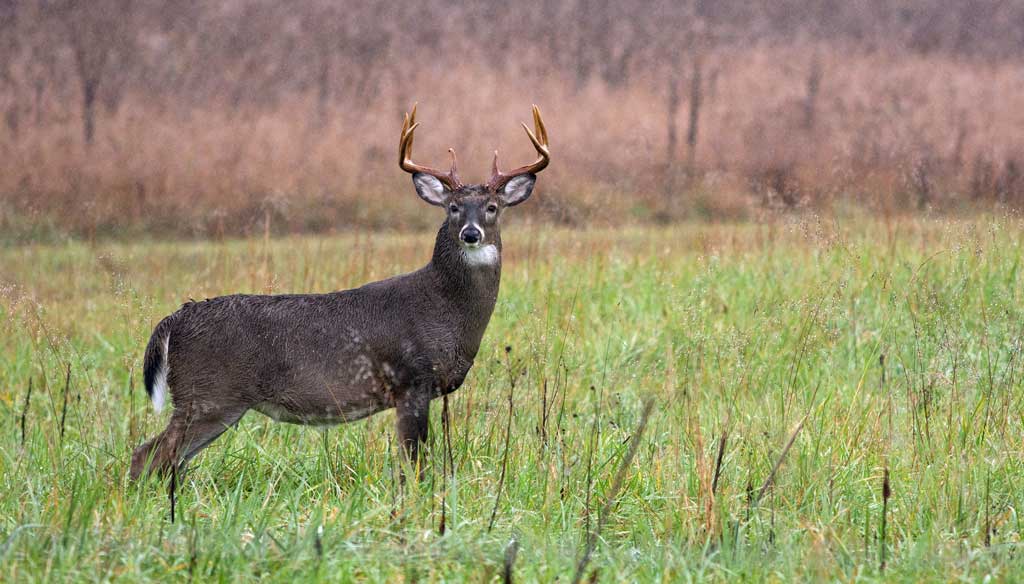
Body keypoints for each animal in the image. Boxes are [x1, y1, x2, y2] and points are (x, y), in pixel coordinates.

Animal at [132, 107, 552, 479]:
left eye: (492, 207)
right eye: (452, 207)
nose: (471, 233)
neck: (445, 310)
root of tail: (175, 319)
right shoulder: (411, 378)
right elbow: (414, 464)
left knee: (165, 459)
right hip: (209, 394)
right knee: (148, 456)